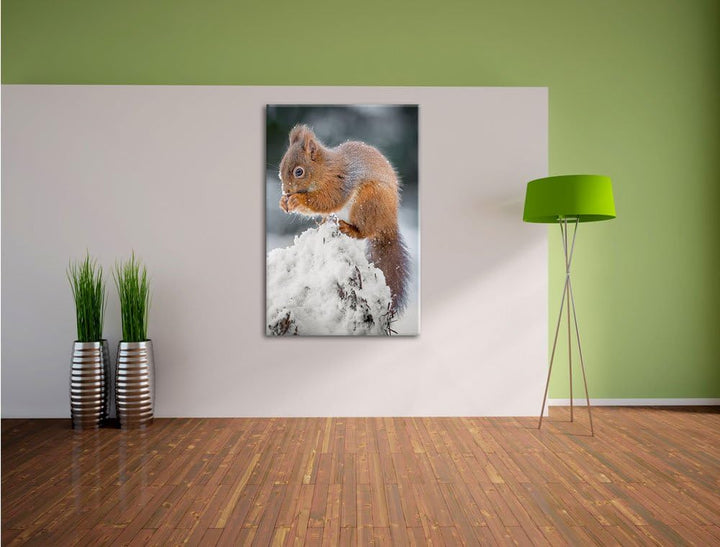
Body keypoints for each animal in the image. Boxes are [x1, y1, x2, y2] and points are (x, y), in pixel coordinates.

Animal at [278, 124, 410, 312]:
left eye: (299, 172)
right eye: (281, 168)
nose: (286, 191)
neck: (325, 169)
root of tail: (389, 222)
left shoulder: (340, 182)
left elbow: (327, 200)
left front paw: (297, 200)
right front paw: (284, 202)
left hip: (368, 201)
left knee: (365, 232)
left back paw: (348, 228)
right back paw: (323, 224)